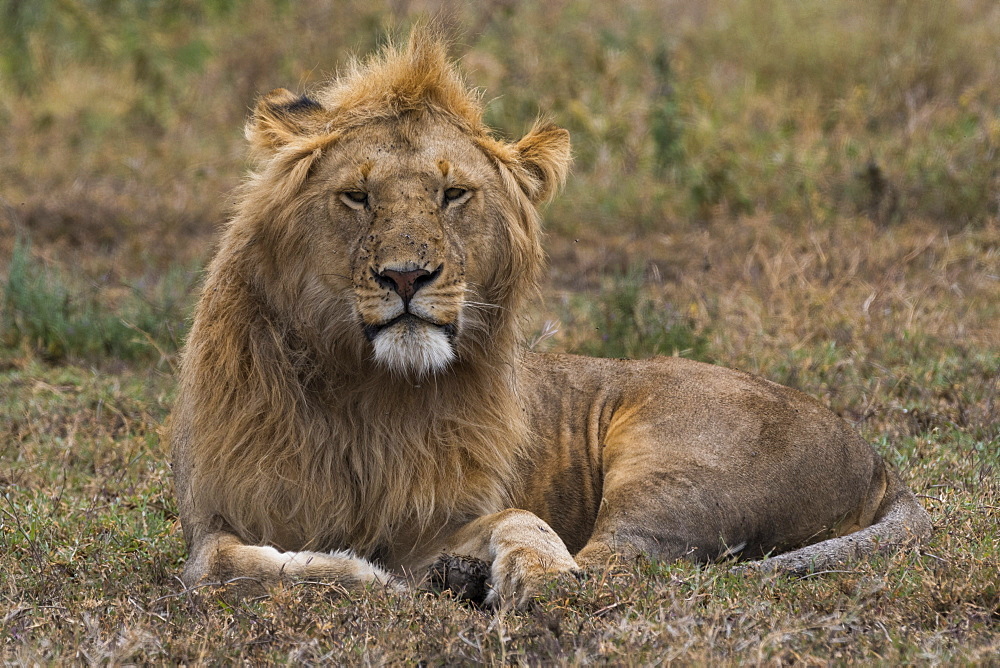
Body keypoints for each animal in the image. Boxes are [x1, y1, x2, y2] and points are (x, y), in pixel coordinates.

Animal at [170, 31, 928, 608]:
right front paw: (367, 570)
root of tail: (876, 457)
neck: (369, 393)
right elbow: (221, 565)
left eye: (453, 195)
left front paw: (499, 572)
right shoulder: (213, 516)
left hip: (675, 465)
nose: (407, 277)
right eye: (356, 197)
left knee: (617, 566)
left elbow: (522, 523)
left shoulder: (446, 516)